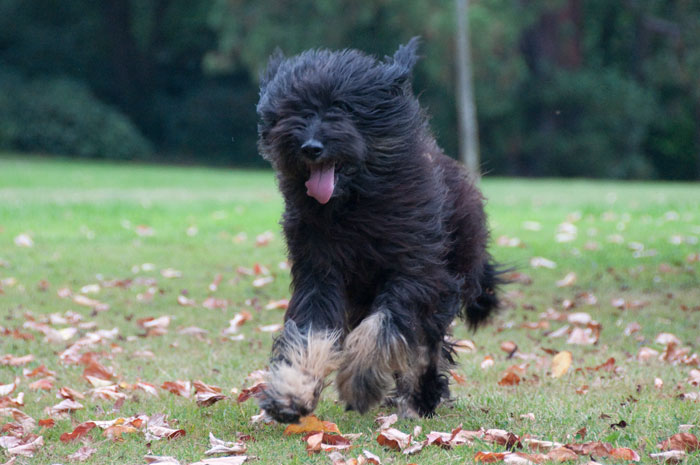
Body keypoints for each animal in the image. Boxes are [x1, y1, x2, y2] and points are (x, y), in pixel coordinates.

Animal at [254, 38, 500, 422]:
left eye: (342, 107)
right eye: (296, 109)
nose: (311, 147)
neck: (354, 207)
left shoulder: (415, 270)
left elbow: (385, 326)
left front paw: (361, 379)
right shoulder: (319, 268)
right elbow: (310, 330)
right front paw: (291, 391)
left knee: (429, 343)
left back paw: (421, 395)